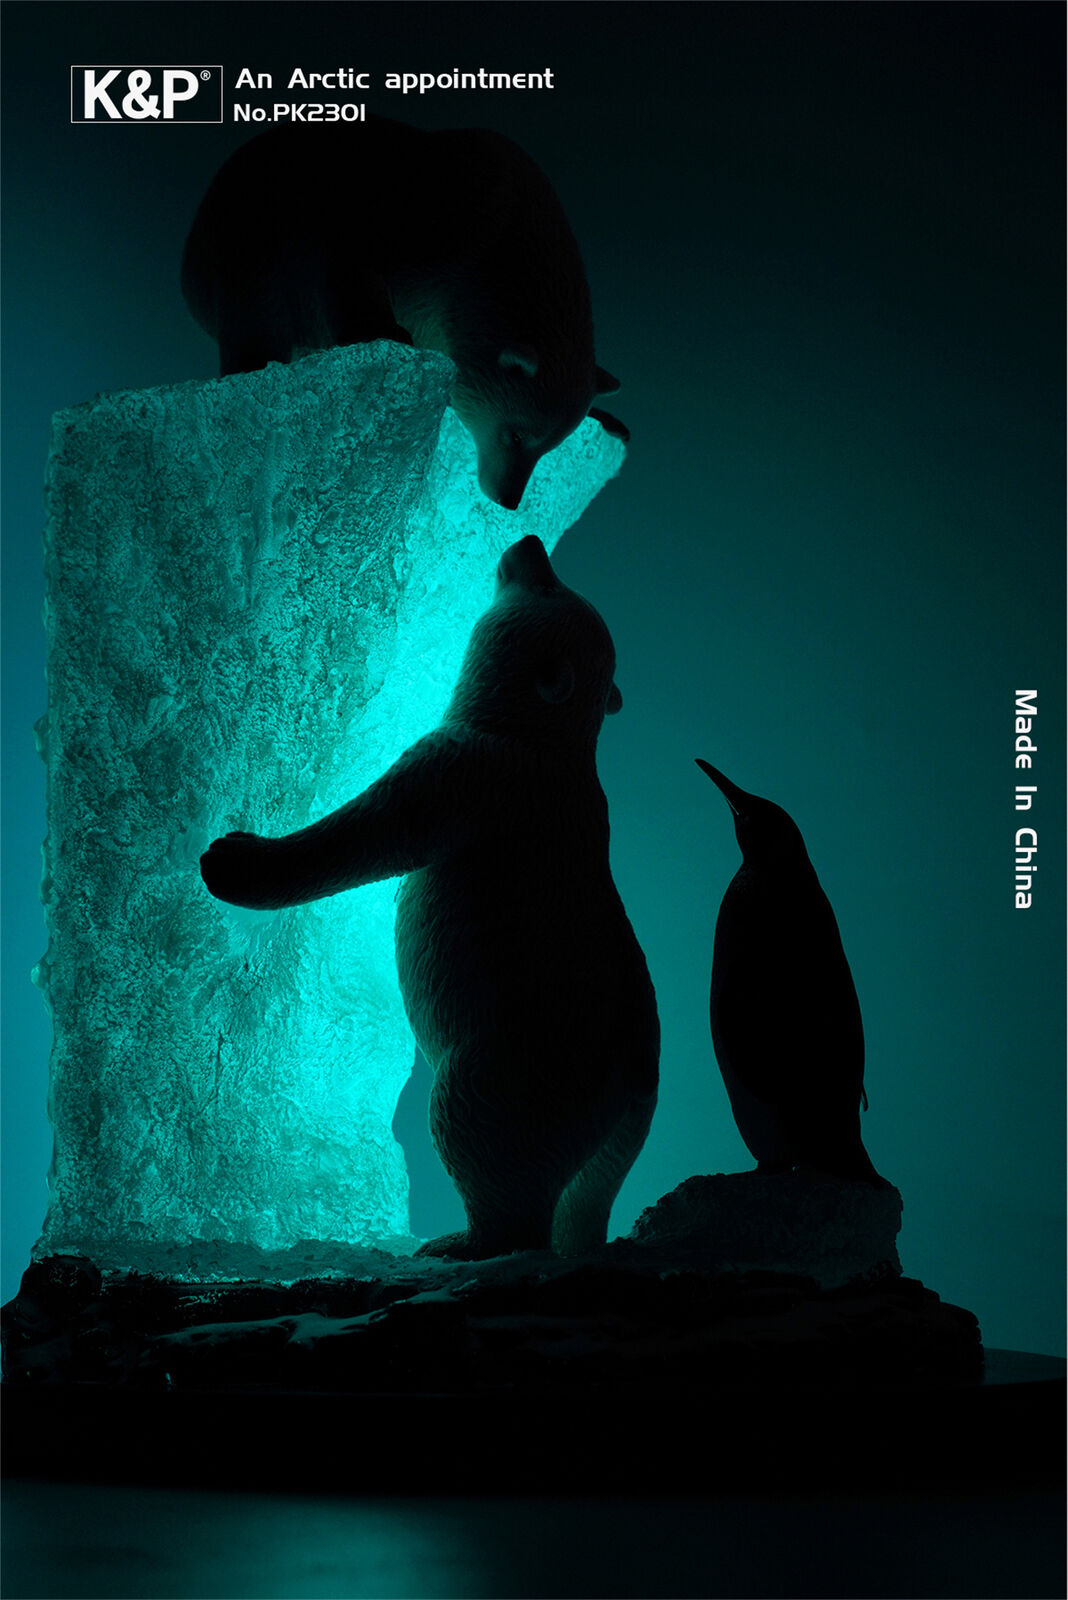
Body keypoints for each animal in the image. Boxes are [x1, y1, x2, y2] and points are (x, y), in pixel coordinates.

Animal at [181, 117, 626, 510]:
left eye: (550, 445)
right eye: (516, 436)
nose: (507, 499)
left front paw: (608, 418)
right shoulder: (429, 224)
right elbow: (352, 263)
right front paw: (384, 331)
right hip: (247, 252)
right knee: (255, 323)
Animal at [200, 534, 660, 1259]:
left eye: (551, 586)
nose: (529, 540)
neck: (540, 739)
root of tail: (626, 1080)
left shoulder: (470, 774)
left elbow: (374, 828)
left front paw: (231, 857)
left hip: (509, 1068)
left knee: (481, 1140)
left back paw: (462, 1240)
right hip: (627, 1120)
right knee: (592, 1187)